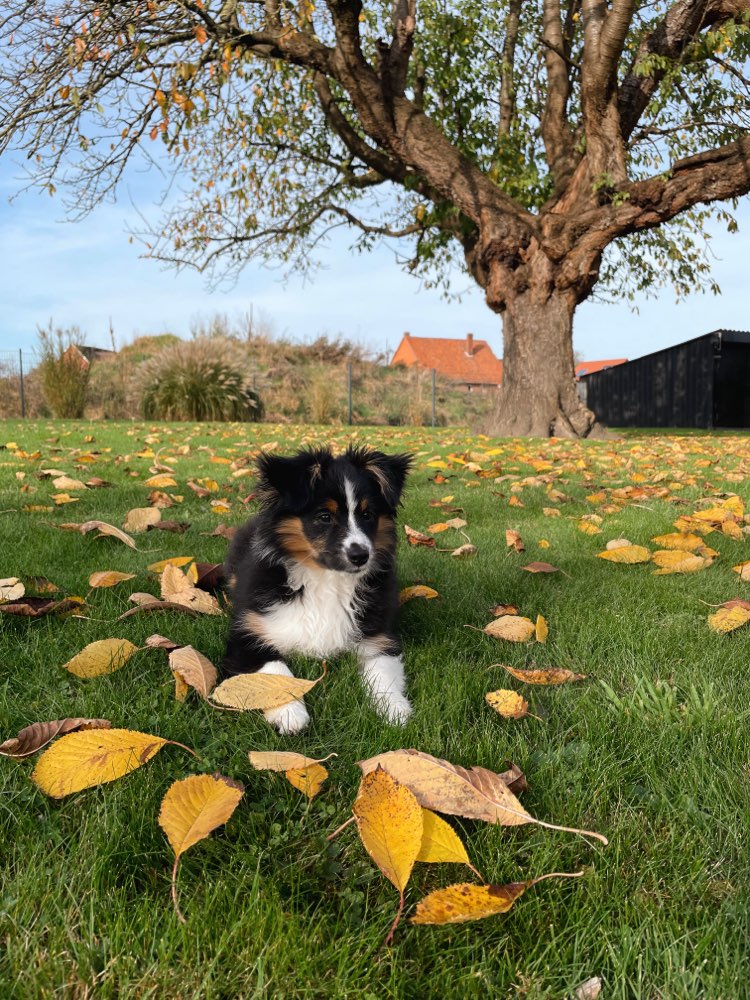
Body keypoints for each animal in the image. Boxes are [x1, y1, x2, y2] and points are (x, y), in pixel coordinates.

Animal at [220, 446, 414, 736]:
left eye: (367, 515)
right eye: (324, 517)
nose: (361, 556)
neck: (327, 581)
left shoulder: (378, 637)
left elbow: (383, 674)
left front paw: (395, 711)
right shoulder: (249, 633)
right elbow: (275, 668)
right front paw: (290, 714)